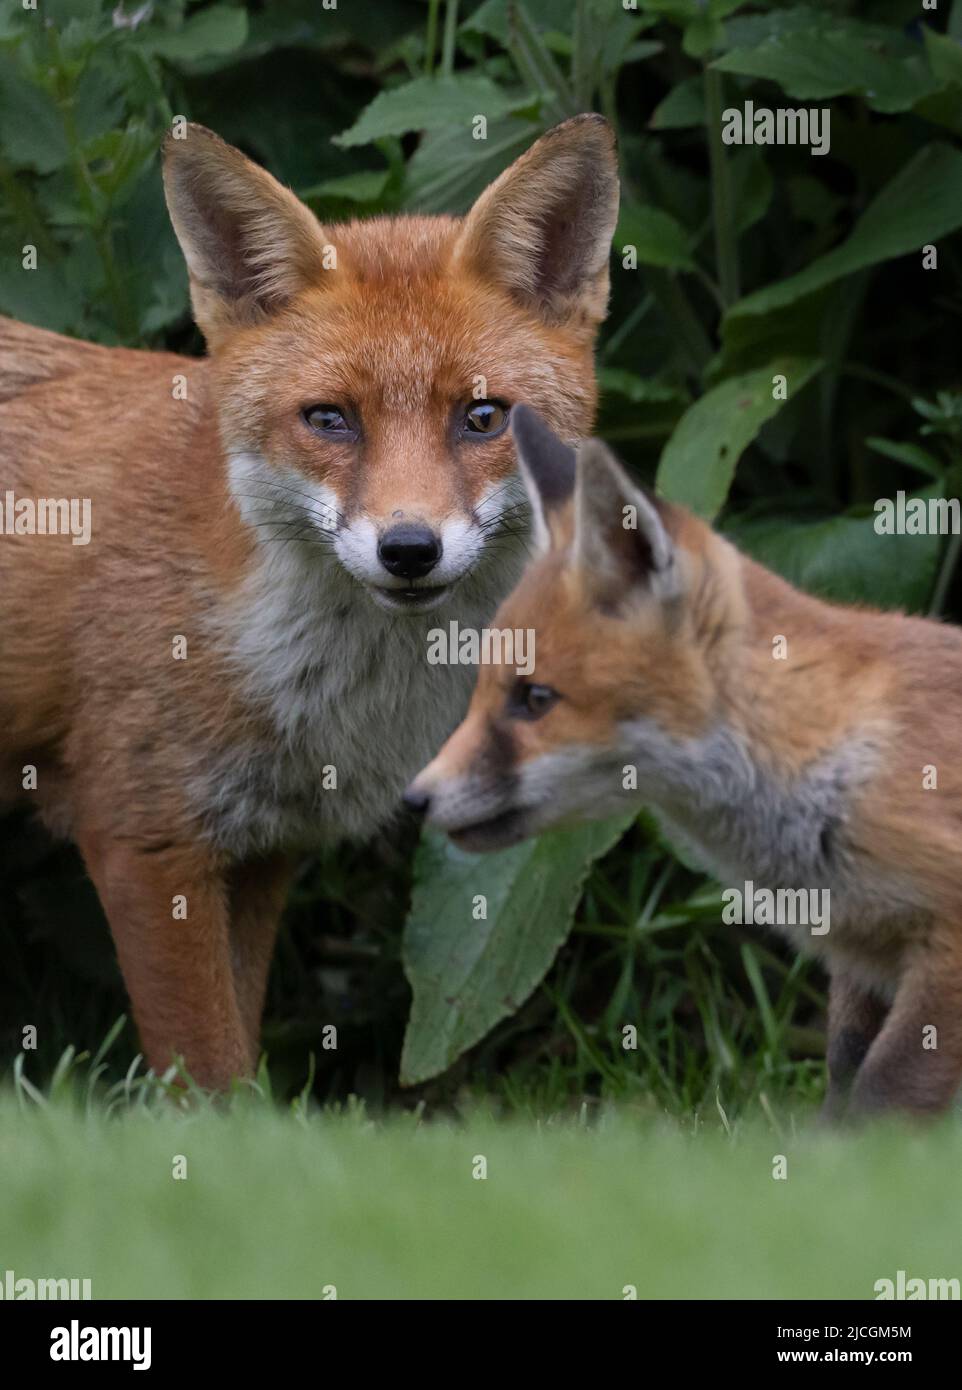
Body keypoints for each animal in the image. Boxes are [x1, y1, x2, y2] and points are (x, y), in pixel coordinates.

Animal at [0, 117, 620, 1089]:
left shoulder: (261, 850)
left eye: (481, 418)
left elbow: (238, 1064)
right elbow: (205, 1078)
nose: (409, 548)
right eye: (331, 419)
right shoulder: (144, 840)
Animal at [407, 406, 962, 1119]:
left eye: (535, 699)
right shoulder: (862, 965)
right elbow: (844, 1082)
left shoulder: (942, 948)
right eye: (480, 691)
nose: (414, 800)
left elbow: (883, 1097)